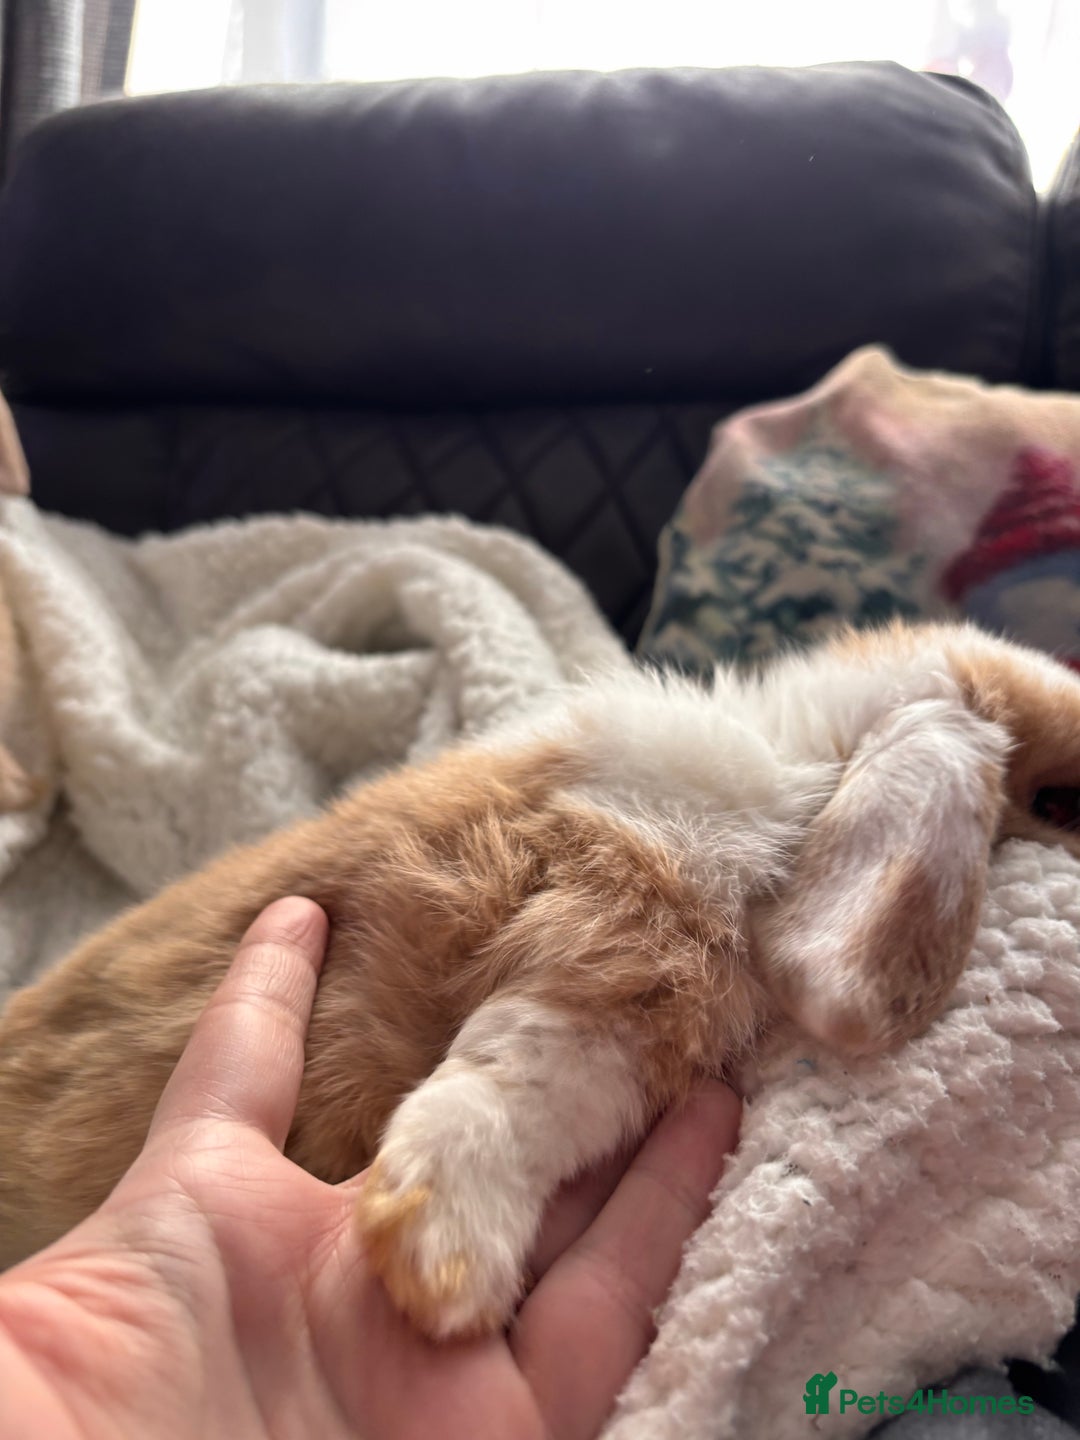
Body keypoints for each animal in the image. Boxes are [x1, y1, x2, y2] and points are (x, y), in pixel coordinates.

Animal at [2, 616, 1080, 1340]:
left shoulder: (631, 990)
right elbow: (513, 1082)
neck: (804, 769)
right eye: (1062, 799)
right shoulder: (618, 936)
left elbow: (544, 1083)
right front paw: (442, 1268)